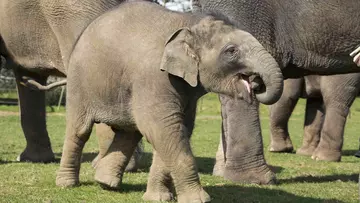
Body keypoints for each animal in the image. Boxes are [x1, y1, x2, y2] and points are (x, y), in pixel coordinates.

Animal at [54, 1, 282, 201]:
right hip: (79, 82)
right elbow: (163, 128)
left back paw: (105, 183)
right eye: (231, 51)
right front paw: (197, 200)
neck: (190, 22)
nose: (256, 83)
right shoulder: (154, 77)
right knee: (79, 130)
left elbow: (177, 129)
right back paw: (67, 184)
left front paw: (158, 198)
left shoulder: (186, 90)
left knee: (128, 133)